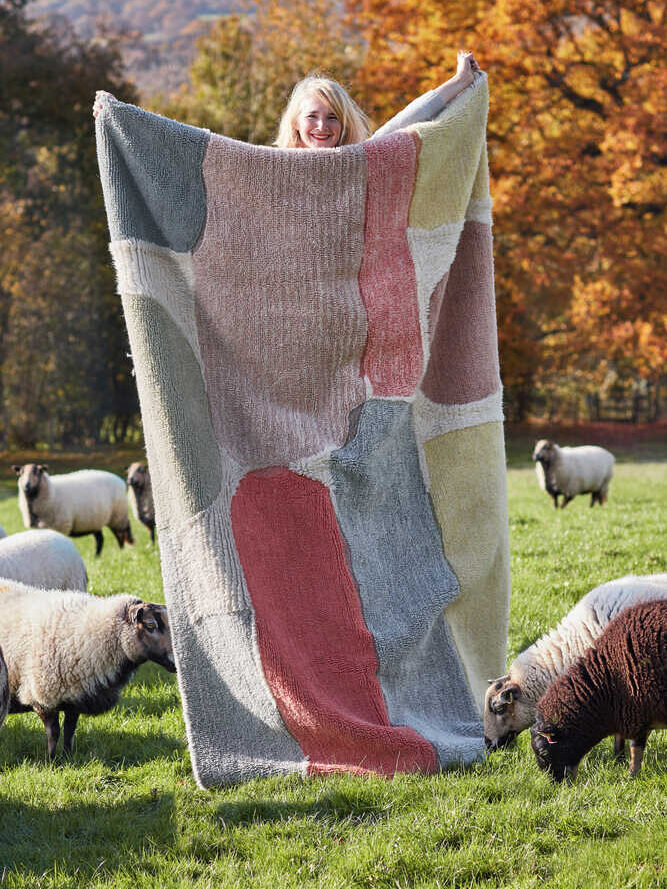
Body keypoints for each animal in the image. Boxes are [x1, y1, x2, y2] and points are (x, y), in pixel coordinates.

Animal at [0, 580, 177, 760]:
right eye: (150, 625)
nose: (176, 661)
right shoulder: (42, 696)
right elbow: (53, 733)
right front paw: (50, 760)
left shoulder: (75, 697)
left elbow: (69, 730)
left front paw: (68, 757)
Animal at [532, 600, 667, 780]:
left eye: (543, 753)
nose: (555, 783)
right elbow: (623, 744)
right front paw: (621, 765)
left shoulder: (640, 713)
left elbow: (635, 750)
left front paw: (631, 777)